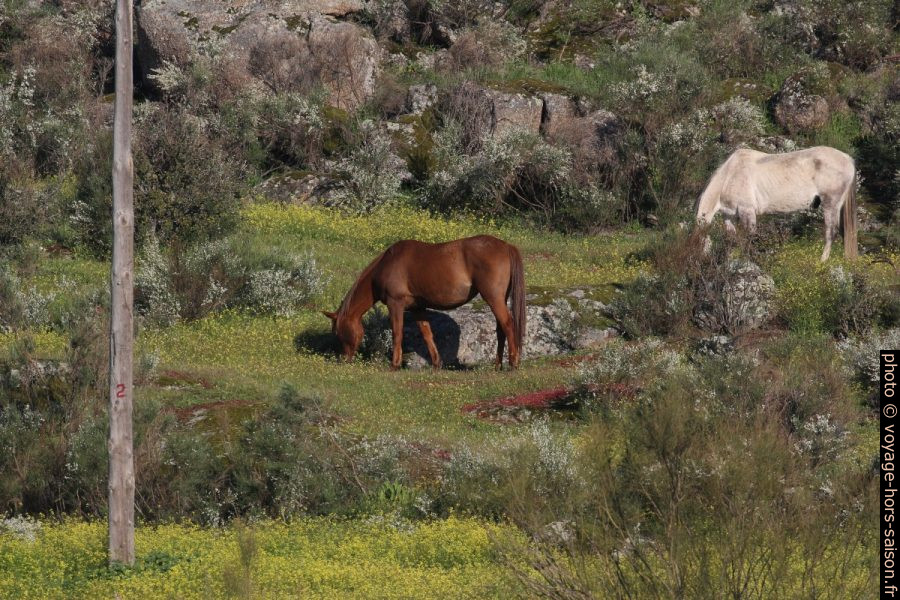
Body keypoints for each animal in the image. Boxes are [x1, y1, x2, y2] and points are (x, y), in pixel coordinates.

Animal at [323, 235, 526, 370]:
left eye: (338, 332)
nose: (344, 360)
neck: (387, 263)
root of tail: (506, 246)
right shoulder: (418, 308)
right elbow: (427, 334)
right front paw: (436, 363)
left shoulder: (395, 304)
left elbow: (397, 333)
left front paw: (394, 364)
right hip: (499, 299)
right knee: (501, 329)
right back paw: (498, 365)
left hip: (493, 298)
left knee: (508, 325)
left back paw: (513, 363)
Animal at [695, 146, 857, 261]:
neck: (730, 176)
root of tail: (848, 159)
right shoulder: (729, 215)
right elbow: (732, 238)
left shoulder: (747, 210)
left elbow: (750, 236)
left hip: (831, 204)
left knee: (831, 232)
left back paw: (822, 261)